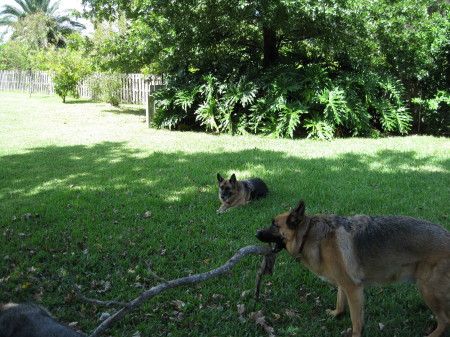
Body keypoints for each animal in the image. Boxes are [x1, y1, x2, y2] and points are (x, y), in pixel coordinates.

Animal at [256, 200, 450, 336]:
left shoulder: (354, 288)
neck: (308, 233)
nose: (256, 233)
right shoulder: (344, 284)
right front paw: (336, 313)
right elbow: (340, 301)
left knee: (445, 320)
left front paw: (354, 333)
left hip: (428, 291)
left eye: (274, 225)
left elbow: (356, 321)